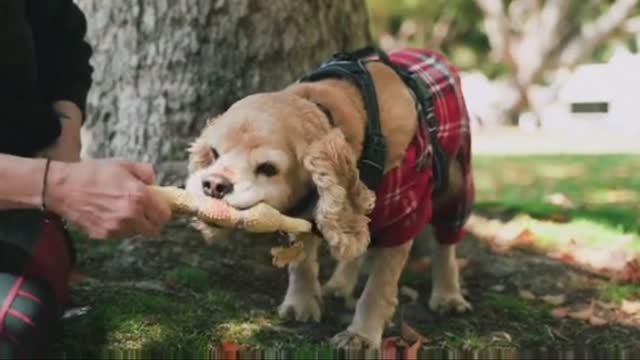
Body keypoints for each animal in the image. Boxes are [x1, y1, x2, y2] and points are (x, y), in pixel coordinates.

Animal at [185, 47, 476, 348]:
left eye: (268, 168)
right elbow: (302, 263)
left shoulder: (405, 215)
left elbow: (378, 287)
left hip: (457, 183)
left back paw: (448, 295)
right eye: (214, 153)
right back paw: (339, 285)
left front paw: (361, 335)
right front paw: (301, 304)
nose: (213, 185)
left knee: (445, 245)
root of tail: (430, 52)